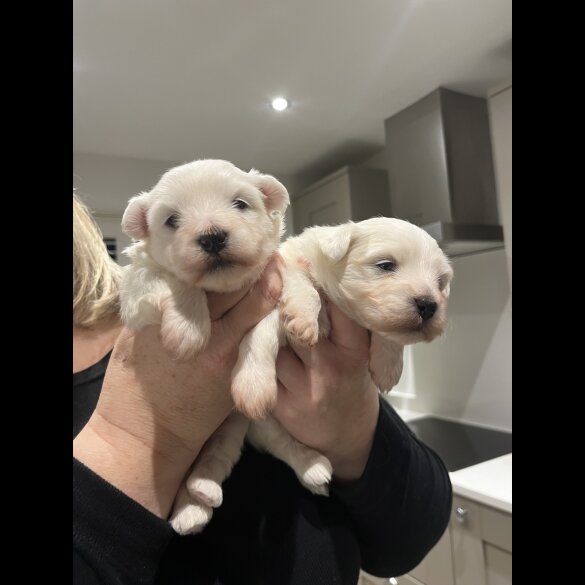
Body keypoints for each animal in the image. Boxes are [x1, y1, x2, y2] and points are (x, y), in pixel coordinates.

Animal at [119, 160, 290, 360]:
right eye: (171, 219)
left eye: (240, 204)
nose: (213, 239)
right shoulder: (136, 287)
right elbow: (175, 282)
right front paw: (188, 328)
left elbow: (261, 332)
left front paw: (253, 369)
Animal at [171, 216, 454, 532]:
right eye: (385, 265)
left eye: (440, 283)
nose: (429, 305)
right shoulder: (283, 277)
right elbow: (282, 310)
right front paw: (300, 324)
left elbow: (389, 333)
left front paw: (388, 365)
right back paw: (190, 509)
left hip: (243, 428)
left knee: (239, 450)